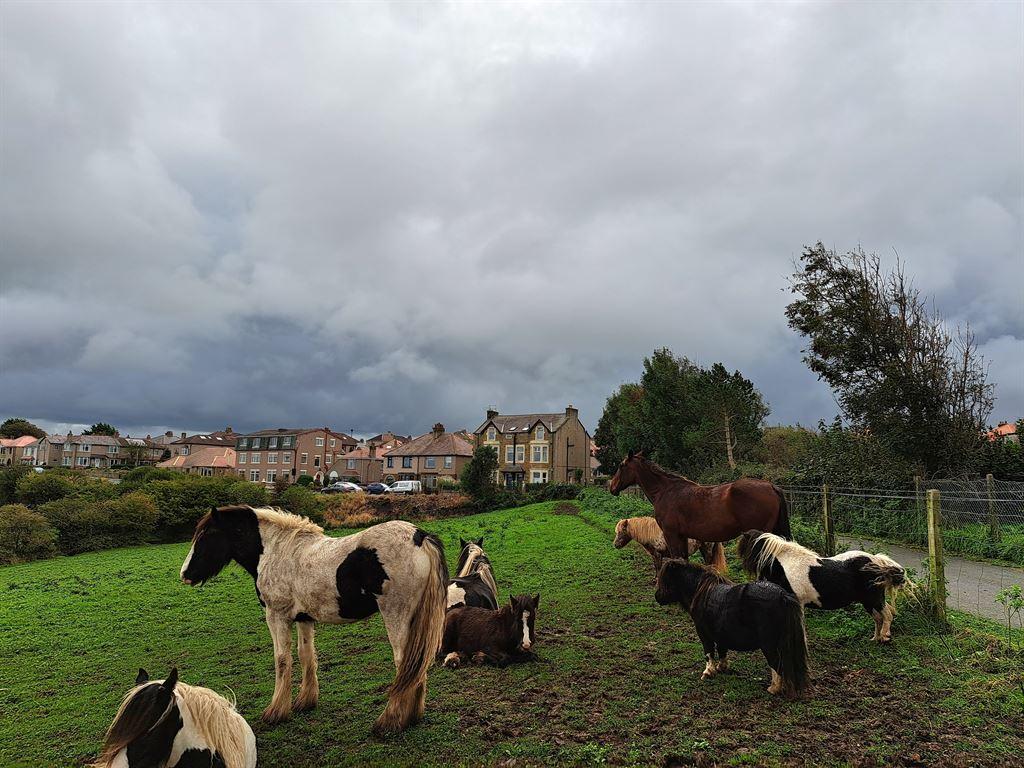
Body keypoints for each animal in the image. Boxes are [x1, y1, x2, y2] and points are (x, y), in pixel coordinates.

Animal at [180, 505, 448, 735]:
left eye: (206, 535)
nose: (185, 574)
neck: (276, 551)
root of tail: (419, 536)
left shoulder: (276, 617)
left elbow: (282, 660)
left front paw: (276, 712)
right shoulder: (303, 619)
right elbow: (306, 655)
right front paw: (305, 701)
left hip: (396, 616)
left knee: (404, 664)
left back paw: (390, 721)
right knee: (416, 666)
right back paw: (412, 717)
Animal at [609, 451, 790, 564]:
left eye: (621, 466)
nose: (612, 486)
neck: (666, 491)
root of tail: (771, 486)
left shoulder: (671, 535)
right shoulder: (682, 537)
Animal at [655, 559, 810, 698]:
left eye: (665, 579)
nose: (657, 597)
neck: (701, 591)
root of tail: (783, 596)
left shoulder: (703, 633)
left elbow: (708, 652)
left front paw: (708, 672)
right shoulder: (720, 634)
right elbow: (722, 650)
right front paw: (721, 667)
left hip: (769, 645)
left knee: (777, 664)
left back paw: (774, 689)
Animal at [737, 530, 908, 643]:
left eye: (744, 547)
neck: (786, 565)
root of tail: (878, 561)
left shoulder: (797, 603)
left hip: (874, 599)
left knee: (887, 615)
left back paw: (885, 637)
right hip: (867, 601)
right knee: (879, 618)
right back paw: (875, 639)